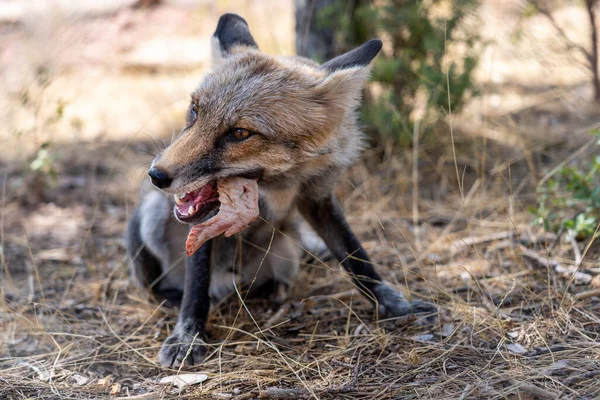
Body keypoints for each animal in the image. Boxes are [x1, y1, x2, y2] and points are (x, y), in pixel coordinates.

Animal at [126, 13, 436, 368]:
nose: (156, 175)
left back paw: (273, 291)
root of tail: (229, 282)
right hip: (150, 220)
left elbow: (358, 258)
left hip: (287, 252)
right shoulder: (203, 224)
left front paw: (396, 306)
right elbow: (196, 290)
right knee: (163, 288)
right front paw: (188, 337)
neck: (280, 183)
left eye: (240, 133)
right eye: (194, 110)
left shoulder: (318, 197)